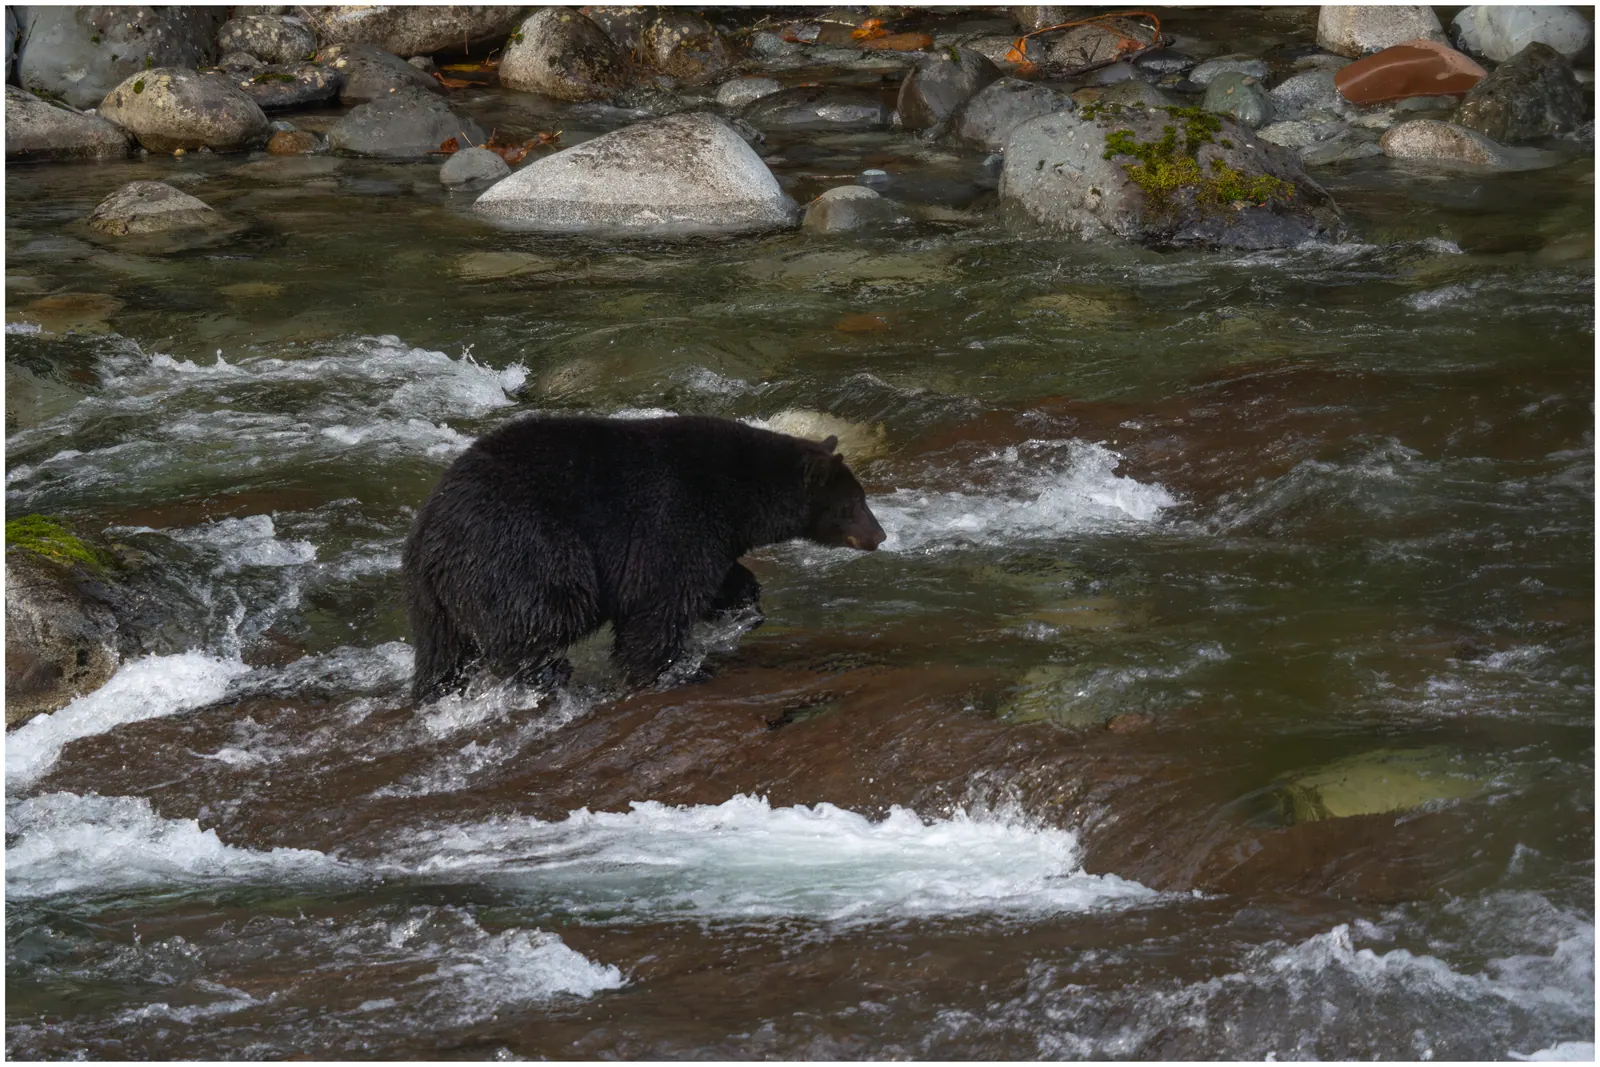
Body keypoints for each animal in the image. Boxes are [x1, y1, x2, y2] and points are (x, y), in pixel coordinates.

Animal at [402, 414, 886, 702]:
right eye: (855, 502)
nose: (880, 535)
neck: (738, 495)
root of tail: (430, 535)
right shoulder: (672, 516)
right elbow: (662, 599)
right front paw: (668, 672)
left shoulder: (709, 534)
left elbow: (718, 578)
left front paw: (743, 607)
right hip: (524, 546)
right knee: (549, 609)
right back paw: (546, 673)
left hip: (433, 599)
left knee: (441, 651)